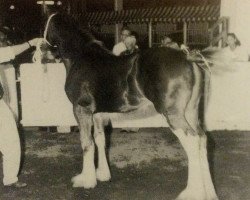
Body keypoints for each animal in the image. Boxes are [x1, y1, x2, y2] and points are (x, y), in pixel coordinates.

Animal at [43, 13, 219, 199]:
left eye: (46, 25)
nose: (41, 52)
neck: (82, 57)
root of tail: (187, 57)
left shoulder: (81, 109)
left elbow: (86, 143)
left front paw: (86, 180)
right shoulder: (98, 113)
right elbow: (100, 140)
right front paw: (102, 174)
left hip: (173, 115)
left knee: (192, 141)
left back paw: (192, 192)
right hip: (191, 113)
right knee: (202, 139)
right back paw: (210, 192)